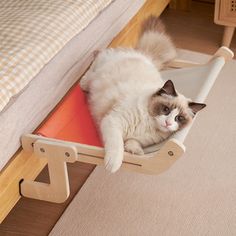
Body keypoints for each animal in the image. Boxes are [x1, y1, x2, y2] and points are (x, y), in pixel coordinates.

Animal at [79, 15, 205, 172]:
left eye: (179, 118)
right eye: (166, 109)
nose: (168, 123)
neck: (149, 126)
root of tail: (143, 55)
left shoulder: (136, 138)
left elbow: (132, 143)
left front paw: (136, 152)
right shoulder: (113, 122)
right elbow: (117, 147)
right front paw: (113, 165)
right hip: (99, 70)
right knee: (93, 66)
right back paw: (83, 81)